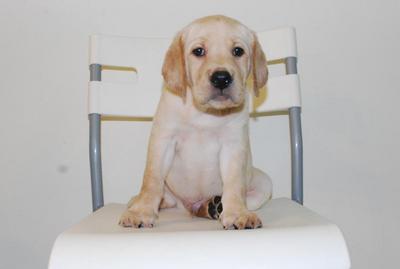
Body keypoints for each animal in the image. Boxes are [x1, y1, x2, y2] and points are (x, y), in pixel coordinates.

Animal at [119, 14, 274, 228]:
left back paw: (214, 206)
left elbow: (234, 184)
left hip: (263, 182)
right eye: (198, 51)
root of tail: (189, 207)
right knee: (163, 195)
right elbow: (151, 179)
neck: (205, 113)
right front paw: (141, 211)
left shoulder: (233, 145)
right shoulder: (163, 140)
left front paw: (237, 213)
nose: (221, 78)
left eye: (238, 51)